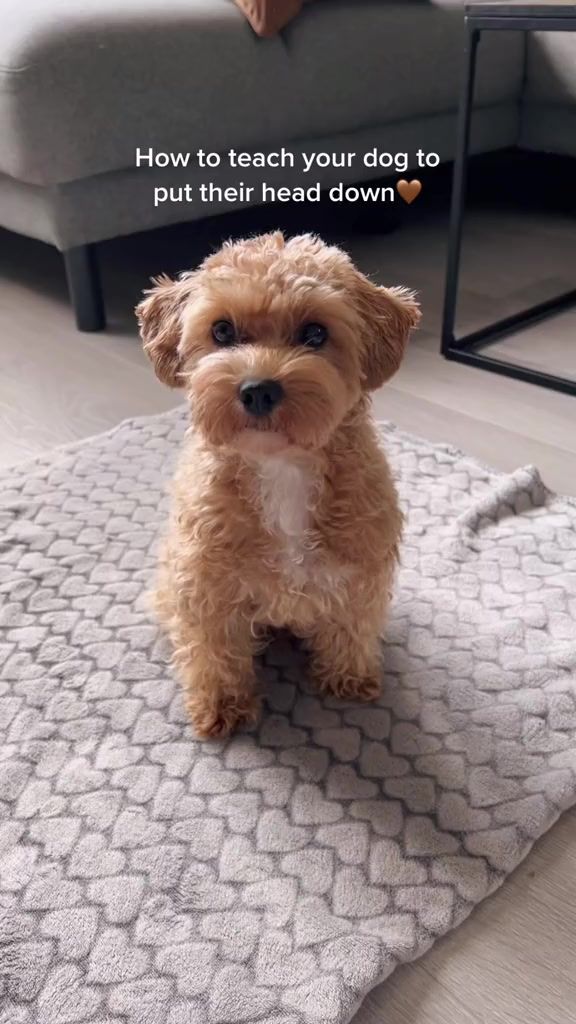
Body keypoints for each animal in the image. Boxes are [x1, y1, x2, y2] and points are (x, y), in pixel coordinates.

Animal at [137, 234, 420, 737]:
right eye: (222, 331)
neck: (282, 468)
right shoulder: (207, 585)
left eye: (315, 334)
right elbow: (214, 650)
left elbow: (352, 626)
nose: (258, 389)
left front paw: (348, 677)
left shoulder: (360, 570)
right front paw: (222, 705)